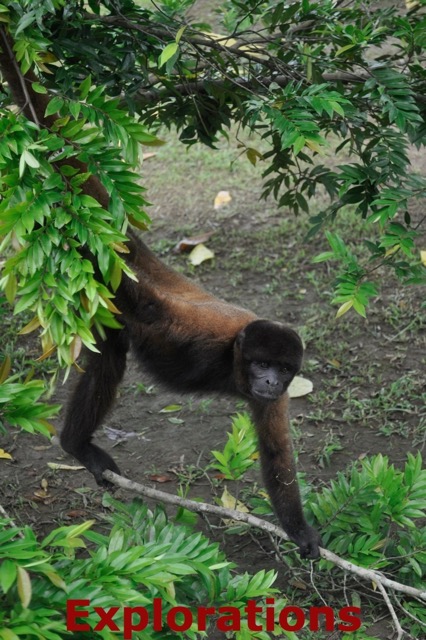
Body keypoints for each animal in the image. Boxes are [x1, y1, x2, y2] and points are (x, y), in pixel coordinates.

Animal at [58, 231, 322, 560]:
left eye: (284, 369)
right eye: (262, 364)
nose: (272, 381)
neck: (234, 360)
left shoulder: (277, 397)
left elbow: (277, 451)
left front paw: (298, 530)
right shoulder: (209, 331)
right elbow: (150, 308)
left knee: (109, 356)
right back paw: (76, 445)